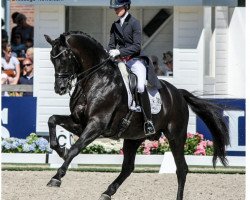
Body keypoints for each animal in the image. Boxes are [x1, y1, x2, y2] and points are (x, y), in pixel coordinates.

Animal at [44, 31, 229, 200]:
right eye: (52, 59)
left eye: (64, 58)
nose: (60, 88)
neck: (96, 79)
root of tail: (178, 93)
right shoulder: (80, 123)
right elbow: (52, 120)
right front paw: (60, 150)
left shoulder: (96, 125)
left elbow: (75, 148)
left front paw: (56, 177)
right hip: (134, 138)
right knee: (128, 167)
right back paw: (107, 192)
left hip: (175, 136)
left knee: (181, 169)